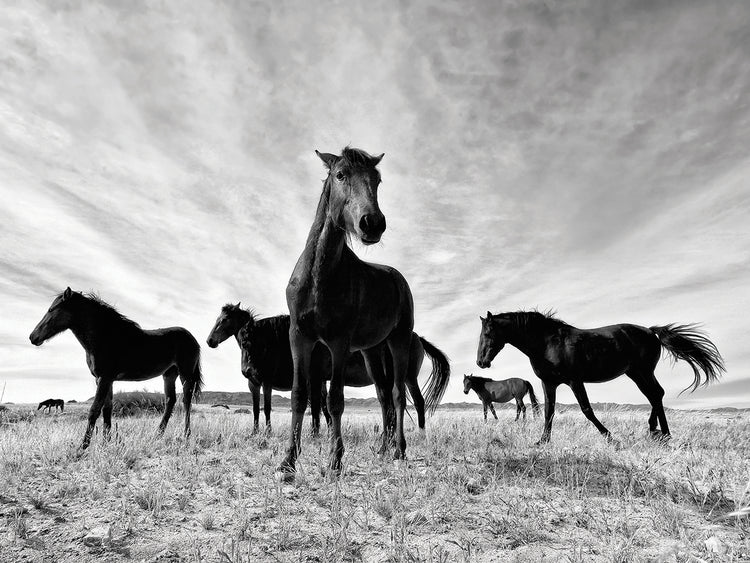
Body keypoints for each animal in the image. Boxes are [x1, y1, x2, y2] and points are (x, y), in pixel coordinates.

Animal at [29, 288, 203, 449]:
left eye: (51, 309)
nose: (32, 337)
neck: (106, 337)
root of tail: (192, 338)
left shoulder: (105, 378)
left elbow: (94, 410)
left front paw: (83, 446)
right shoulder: (105, 380)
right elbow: (107, 410)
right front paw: (107, 442)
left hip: (185, 374)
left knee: (186, 401)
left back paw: (186, 435)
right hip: (169, 374)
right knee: (170, 401)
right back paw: (157, 435)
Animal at [206, 303, 331, 433]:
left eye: (225, 319)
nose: (210, 340)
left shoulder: (267, 383)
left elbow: (266, 408)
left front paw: (268, 432)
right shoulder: (253, 384)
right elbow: (256, 409)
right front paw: (255, 431)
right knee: (323, 407)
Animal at [237, 309, 450, 439]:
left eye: (247, 343)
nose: (247, 371)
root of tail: (418, 337)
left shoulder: (315, 378)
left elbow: (317, 406)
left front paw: (315, 433)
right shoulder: (320, 379)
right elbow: (322, 406)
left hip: (409, 377)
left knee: (418, 402)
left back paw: (419, 433)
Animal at [280, 147, 421, 479]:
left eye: (377, 179)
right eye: (340, 175)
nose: (373, 223)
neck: (318, 277)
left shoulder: (339, 343)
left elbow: (335, 401)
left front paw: (335, 460)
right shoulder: (299, 337)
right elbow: (298, 395)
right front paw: (288, 460)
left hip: (399, 342)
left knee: (397, 394)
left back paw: (399, 450)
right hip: (372, 351)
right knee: (383, 395)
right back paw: (382, 449)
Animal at [476, 310, 725, 443]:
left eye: (488, 333)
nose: (481, 362)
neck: (548, 342)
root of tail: (650, 331)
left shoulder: (575, 381)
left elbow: (587, 409)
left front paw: (610, 437)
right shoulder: (549, 383)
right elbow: (549, 411)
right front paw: (543, 441)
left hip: (643, 371)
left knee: (656, 394)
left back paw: (660, 432)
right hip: (636, 373)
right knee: (655, 395)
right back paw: (657, 432)